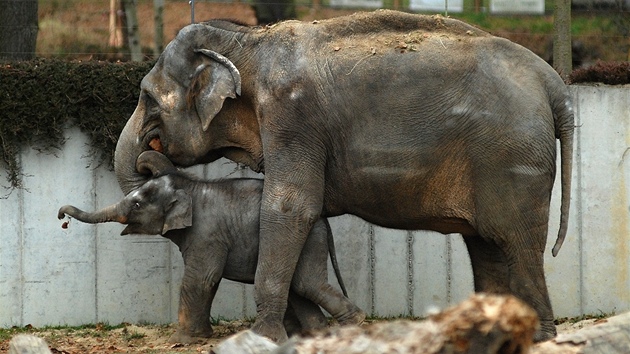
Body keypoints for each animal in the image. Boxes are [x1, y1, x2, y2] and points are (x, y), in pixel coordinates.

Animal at [59, 151, 368, 342]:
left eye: (136, 204)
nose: (61, 217)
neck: (190, 185)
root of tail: (324, 220)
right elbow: (207, 281)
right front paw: (200, 336)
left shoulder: (206, 234)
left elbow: (202, 279)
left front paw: (182, 340)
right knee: (298, 286)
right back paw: (317, 335)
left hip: (309, 239)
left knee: (306, 283)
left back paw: (356, 324)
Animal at [115, 10, 576, 342]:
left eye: (147, 98)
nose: (148, 158)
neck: (248, 41)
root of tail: (553, 80)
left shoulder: (292, 117)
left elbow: (291, 207)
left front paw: (263, 337)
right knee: (486, 245)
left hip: (512, 155)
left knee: (516, 242)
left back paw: (541, 336)